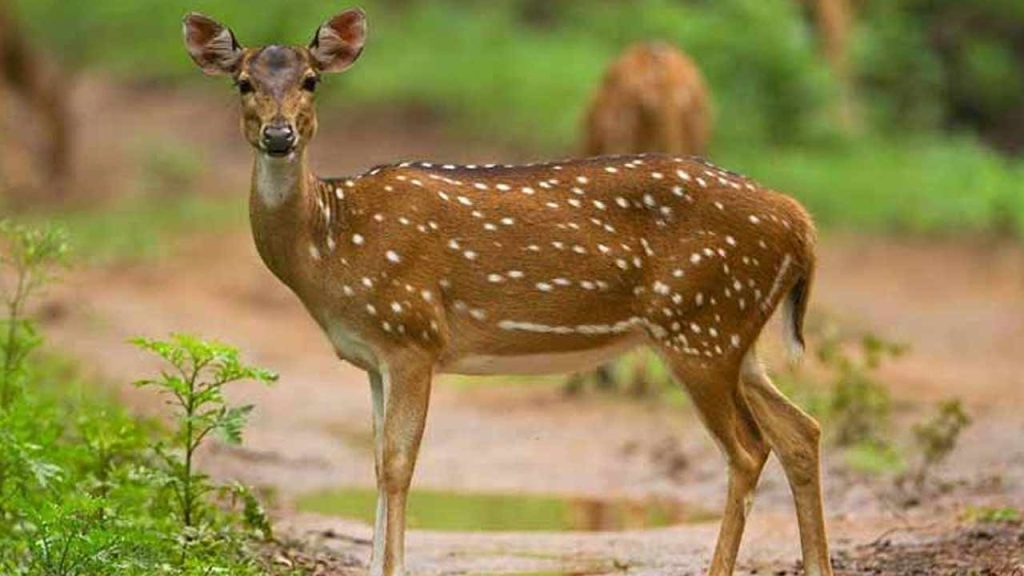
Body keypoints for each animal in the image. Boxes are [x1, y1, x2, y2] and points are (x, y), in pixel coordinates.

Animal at [183, 9, 833, 576]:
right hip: (734, 334)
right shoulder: (372, 356)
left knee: (748, 450)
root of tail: (800, 222)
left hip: (699, 326)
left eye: (312, 81)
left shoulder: (413, 335)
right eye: (243, 82)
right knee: (802, 430)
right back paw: (819, 564)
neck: (333, 243)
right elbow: (375, 460)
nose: (279, 135)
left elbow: (398, 463)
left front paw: (392, 568)